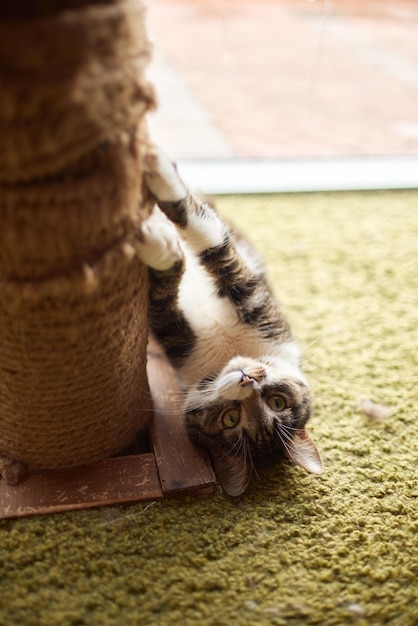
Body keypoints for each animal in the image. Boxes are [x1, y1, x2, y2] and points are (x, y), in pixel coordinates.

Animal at [137, 144, 324, 494]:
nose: (248, 379)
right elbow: (210, 241)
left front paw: (162, 248)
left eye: (230, 419)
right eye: (279, 401)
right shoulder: (256, 310)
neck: (229, 349)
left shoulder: (182, 332)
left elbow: (201, 256)